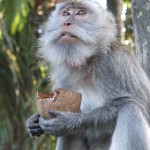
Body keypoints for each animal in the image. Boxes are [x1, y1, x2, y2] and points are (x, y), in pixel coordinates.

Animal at [26, 0, 150, 149]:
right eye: (66, 13)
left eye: (81, 13)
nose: (66, 22)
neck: (86, 62)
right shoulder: (64, 75)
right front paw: (34, 121)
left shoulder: (112, 64)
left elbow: (129, 103)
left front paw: (67, 122)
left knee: (130, 108)